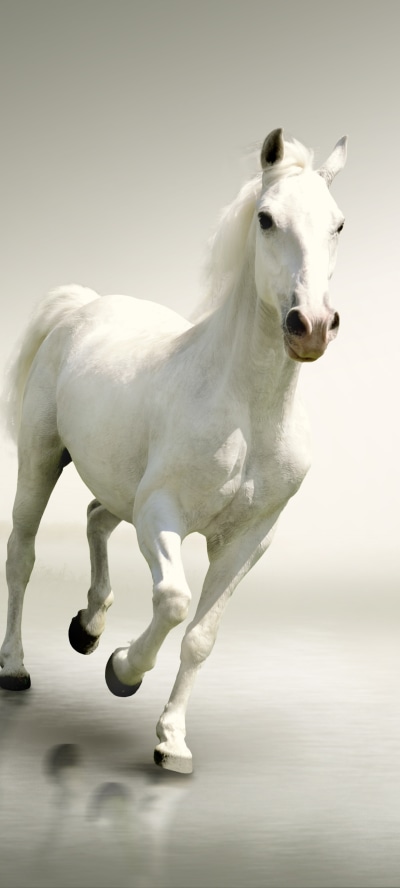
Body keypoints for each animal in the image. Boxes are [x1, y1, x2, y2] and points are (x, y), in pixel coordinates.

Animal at [0, 128, 347, 774]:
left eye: (338, 223)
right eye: (266, 218)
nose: (311, 325)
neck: (246, 411)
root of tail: (82, 306)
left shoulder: (248, 540)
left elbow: (202, 637)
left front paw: (172, 742)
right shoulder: (161, 515)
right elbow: (174, 600)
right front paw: (122, 671)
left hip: (119, 485)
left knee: (95, 516)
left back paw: (88, 626)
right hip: (41, 458)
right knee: (22, 553)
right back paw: (15, 666)